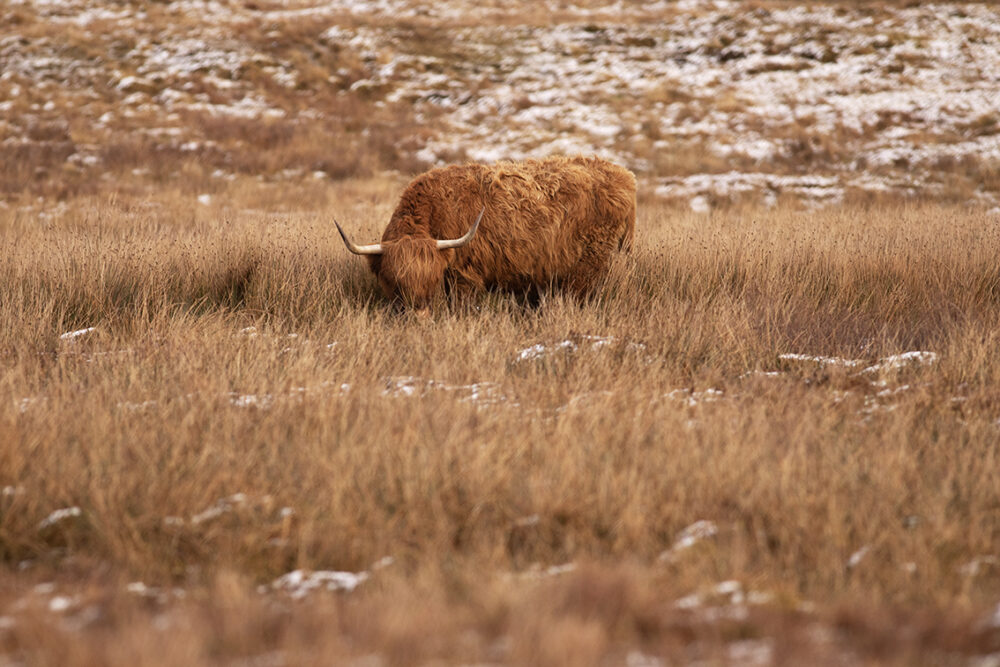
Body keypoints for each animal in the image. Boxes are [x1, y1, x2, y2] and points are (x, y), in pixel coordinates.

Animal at [334, 155, 632, 306]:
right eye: (396, 281)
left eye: (430, 280)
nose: (418, 309)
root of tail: (624, 174)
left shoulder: (464, 274)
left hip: (590, 263)